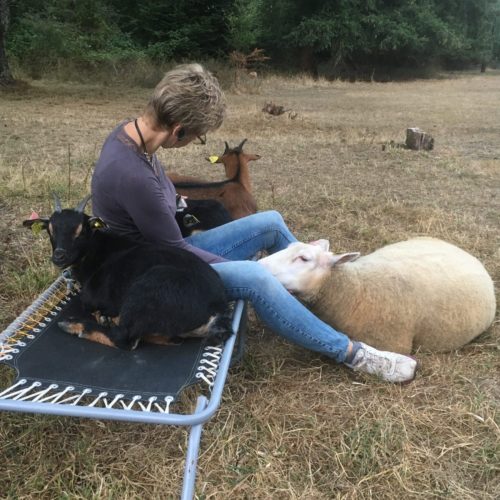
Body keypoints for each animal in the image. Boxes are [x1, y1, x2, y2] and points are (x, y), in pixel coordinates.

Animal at [23, 193, 232, 350]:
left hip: (147, 292)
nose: (59, 256)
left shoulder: (91, 298)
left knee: (125, 339)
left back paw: (75, 325)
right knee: (169, 339)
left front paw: (102, 316)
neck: (98, 250)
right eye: (50, 229)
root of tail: (217, 307)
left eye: (81, 230)